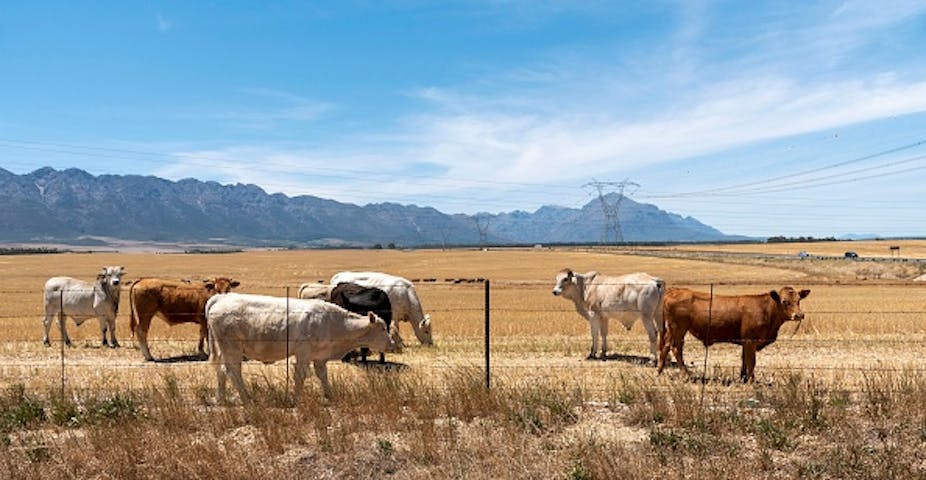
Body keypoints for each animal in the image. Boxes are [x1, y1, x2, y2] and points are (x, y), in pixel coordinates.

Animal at [206, 293, 396, 401]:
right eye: (382, 328)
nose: (391, 344)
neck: (333, 323)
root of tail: (221, 297)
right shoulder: (303, 352)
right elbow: (300, 376)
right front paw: (296, 399)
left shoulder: (320, 357)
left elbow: (322, 375)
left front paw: (329, 395)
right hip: (232, 348)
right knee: (232, 372)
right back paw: (246, 399)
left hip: (223, 348)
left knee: (221, 371)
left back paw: (221, 399)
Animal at [657, 286, 810, 382]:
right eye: (785, 301)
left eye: (799, 300)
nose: (799, 315)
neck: (766, 309)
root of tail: (674, 290)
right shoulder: (750, 341)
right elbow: (751, 361)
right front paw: (752, 380)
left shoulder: (745, 342)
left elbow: (744, 360)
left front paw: (743, 378)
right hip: (678, 329)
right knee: (676, 348)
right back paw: (685, 375)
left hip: (673, 330)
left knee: (666, 347)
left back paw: (659, 371)